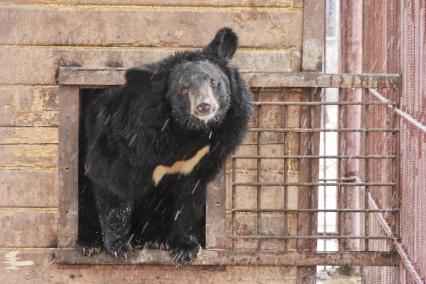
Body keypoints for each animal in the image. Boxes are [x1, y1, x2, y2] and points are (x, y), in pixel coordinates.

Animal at [78, 27, 251, 262]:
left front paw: (185, 249)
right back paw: (88, 244)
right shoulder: (131, 137)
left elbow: (189, 199)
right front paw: (120, 246)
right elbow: (112, 181)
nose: (204, 106)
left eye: (214, 82)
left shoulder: (209, 152)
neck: (187, 131)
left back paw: (156, 239)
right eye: (184, 89)